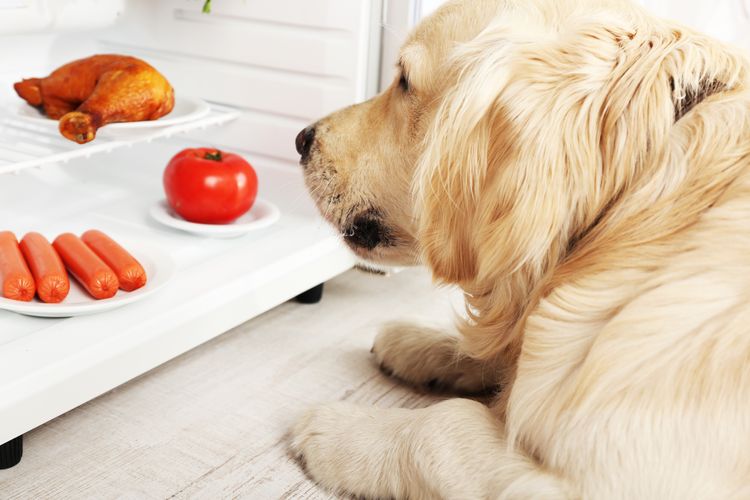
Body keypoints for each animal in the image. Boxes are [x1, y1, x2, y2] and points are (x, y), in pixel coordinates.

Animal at [290, 0, 750, 496]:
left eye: (406, 81)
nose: (301, 139)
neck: (630, 202)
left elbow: (443, 428)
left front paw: (340, 431)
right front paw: (418, 344)